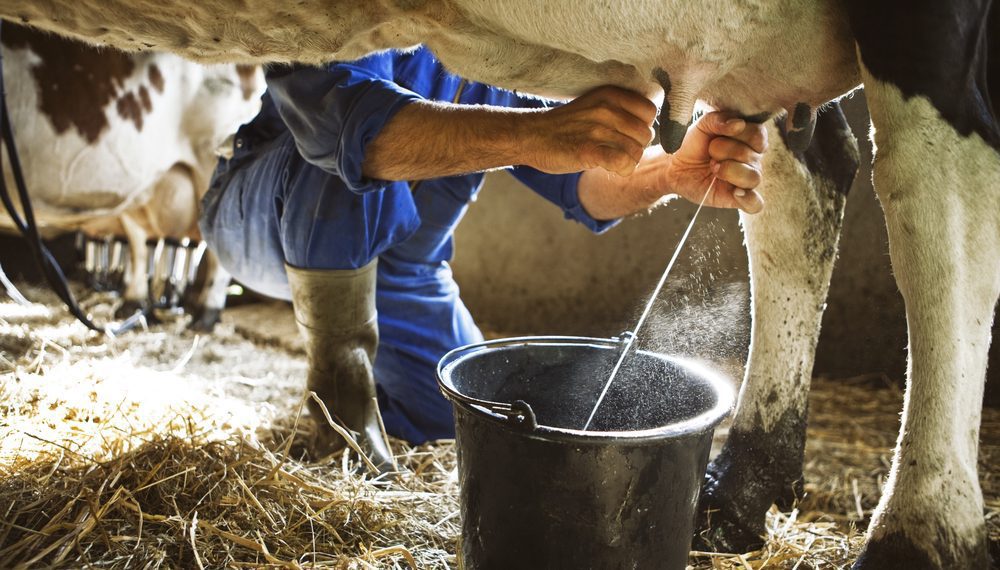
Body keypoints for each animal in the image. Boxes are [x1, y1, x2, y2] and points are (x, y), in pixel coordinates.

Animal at [0, 24, 264, 328]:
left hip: (213, 157)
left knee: (215, 247)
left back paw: (204, 315)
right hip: (144, 189)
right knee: (141, 244)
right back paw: (134, 304)